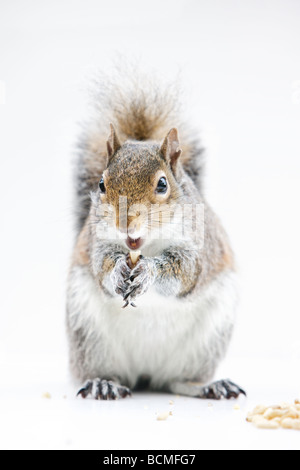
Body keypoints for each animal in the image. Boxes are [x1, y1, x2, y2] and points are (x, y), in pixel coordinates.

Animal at [65, 70, 244, 400]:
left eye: (162, 185)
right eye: (101, 184)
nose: (125, 222)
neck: (146, 245)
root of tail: (146, 373)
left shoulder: (199, 248)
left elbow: (184, 271)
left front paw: (148, 272)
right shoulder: (97, 242)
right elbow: (101, 264)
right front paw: (118, 271)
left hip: (205, 344)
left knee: (179, 381)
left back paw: (209, 386)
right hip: (89, 335)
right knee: (108, 371)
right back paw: (103, 383)